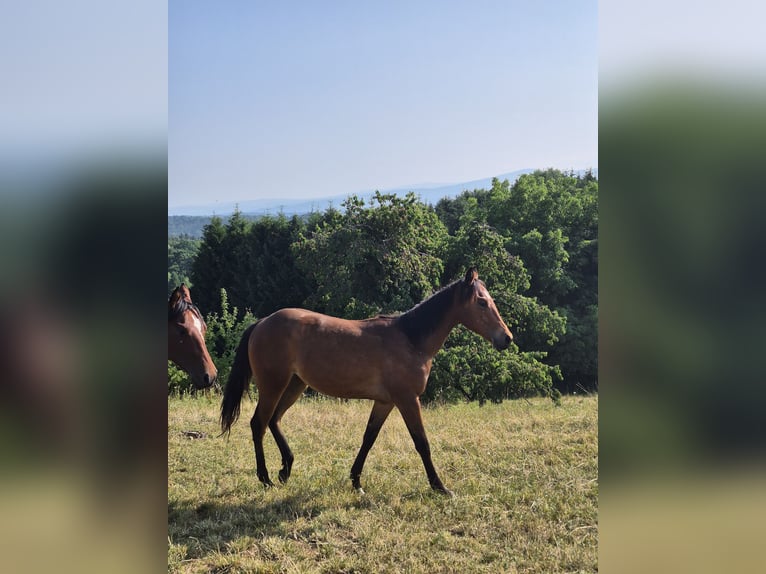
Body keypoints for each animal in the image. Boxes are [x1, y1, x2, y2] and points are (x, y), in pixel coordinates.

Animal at [220, 268, 512, 496]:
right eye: (482, 302)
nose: (506, 338)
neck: (411, 338)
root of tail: (262, 322)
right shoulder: (407, 400)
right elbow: (422, 443)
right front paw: (440, 487)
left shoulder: (385, 402)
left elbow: (368, 438)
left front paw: (356, 482)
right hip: (273, 385)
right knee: (258, 424)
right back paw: (266, 478)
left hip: (294, 385)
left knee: (274, 420)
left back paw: (285, 469)